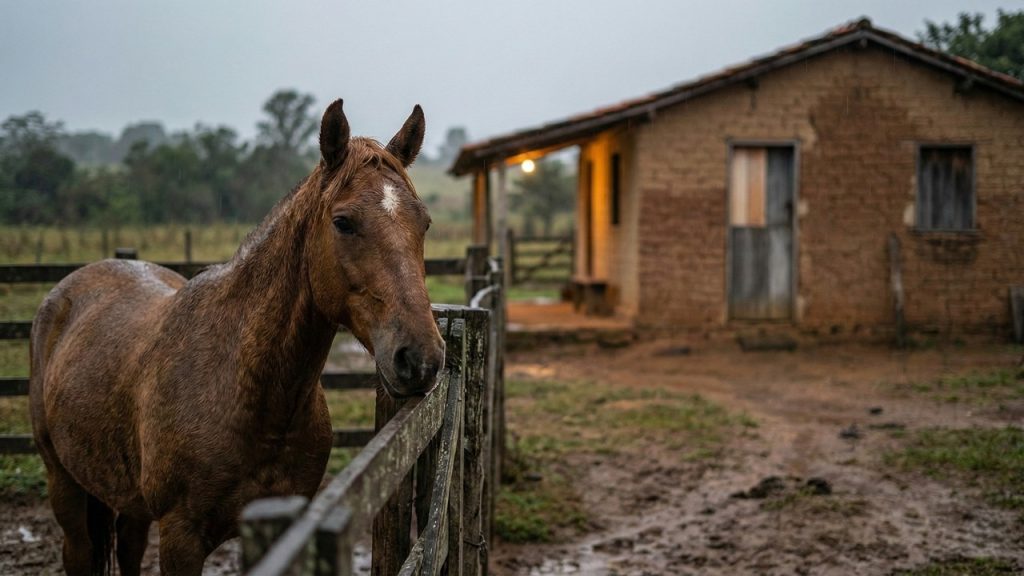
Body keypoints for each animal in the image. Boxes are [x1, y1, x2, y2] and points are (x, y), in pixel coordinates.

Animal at [29, 99, 444, 575]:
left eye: (424, 223)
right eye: (343, 222)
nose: (420, 357)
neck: (243, 385)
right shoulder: (181, 538)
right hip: (64, 485)